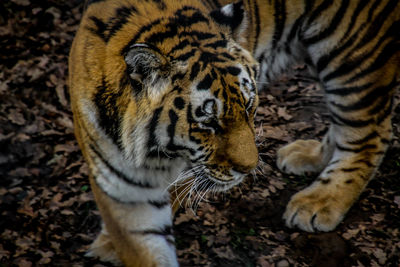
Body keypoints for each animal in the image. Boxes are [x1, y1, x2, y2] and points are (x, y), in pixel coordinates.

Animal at [69, 0, 400, 266]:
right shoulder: (124, 193)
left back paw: (319, 201)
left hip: (352, 56)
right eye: (207, 122)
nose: (249, 169)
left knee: (372, 133)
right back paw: (306, 156)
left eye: (250, 106)